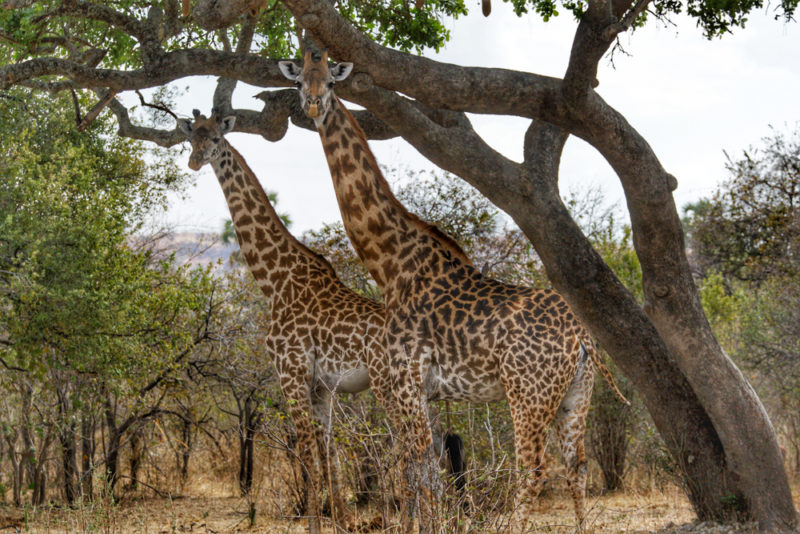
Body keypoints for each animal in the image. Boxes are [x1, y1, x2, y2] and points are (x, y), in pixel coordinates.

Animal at [177, 110, 390, 534]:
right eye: (191, 137)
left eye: (215, 138)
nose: (194, 161)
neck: (274, 280)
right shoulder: (321, 385)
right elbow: (327, 452)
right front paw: (336, 522)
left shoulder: (290, 372)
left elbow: (307, 451)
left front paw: (316, 525)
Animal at [280, 51, 624, 532]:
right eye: (299, 81)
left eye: (330, 81)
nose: (312, 105)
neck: (390, 265)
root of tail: (582, 338)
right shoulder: (422, 391)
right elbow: (424, 470)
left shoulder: (405, 380)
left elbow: (419, 467)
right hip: (577, 394)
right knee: (578, 466)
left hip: (528, 394)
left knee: (533, 469)